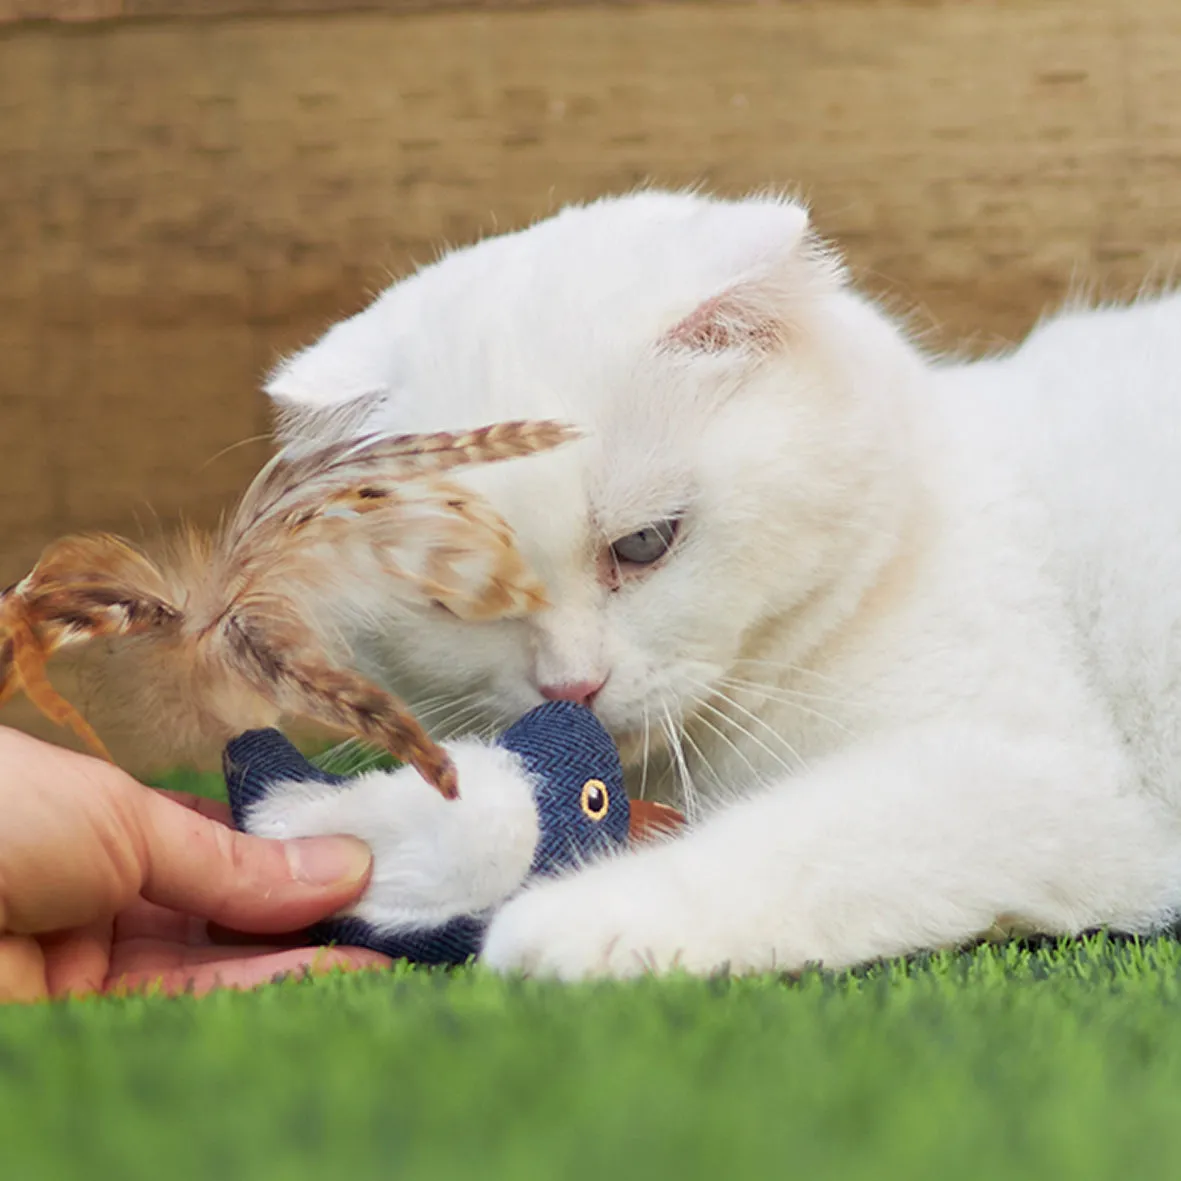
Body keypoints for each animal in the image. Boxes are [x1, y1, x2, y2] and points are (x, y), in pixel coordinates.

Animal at [246, 191, 1181, 977]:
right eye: (460, 595)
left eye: (644, 543)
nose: (571, 686)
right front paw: (332, 832)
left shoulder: (1045, 780)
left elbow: (800, 841)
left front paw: (577, 922)